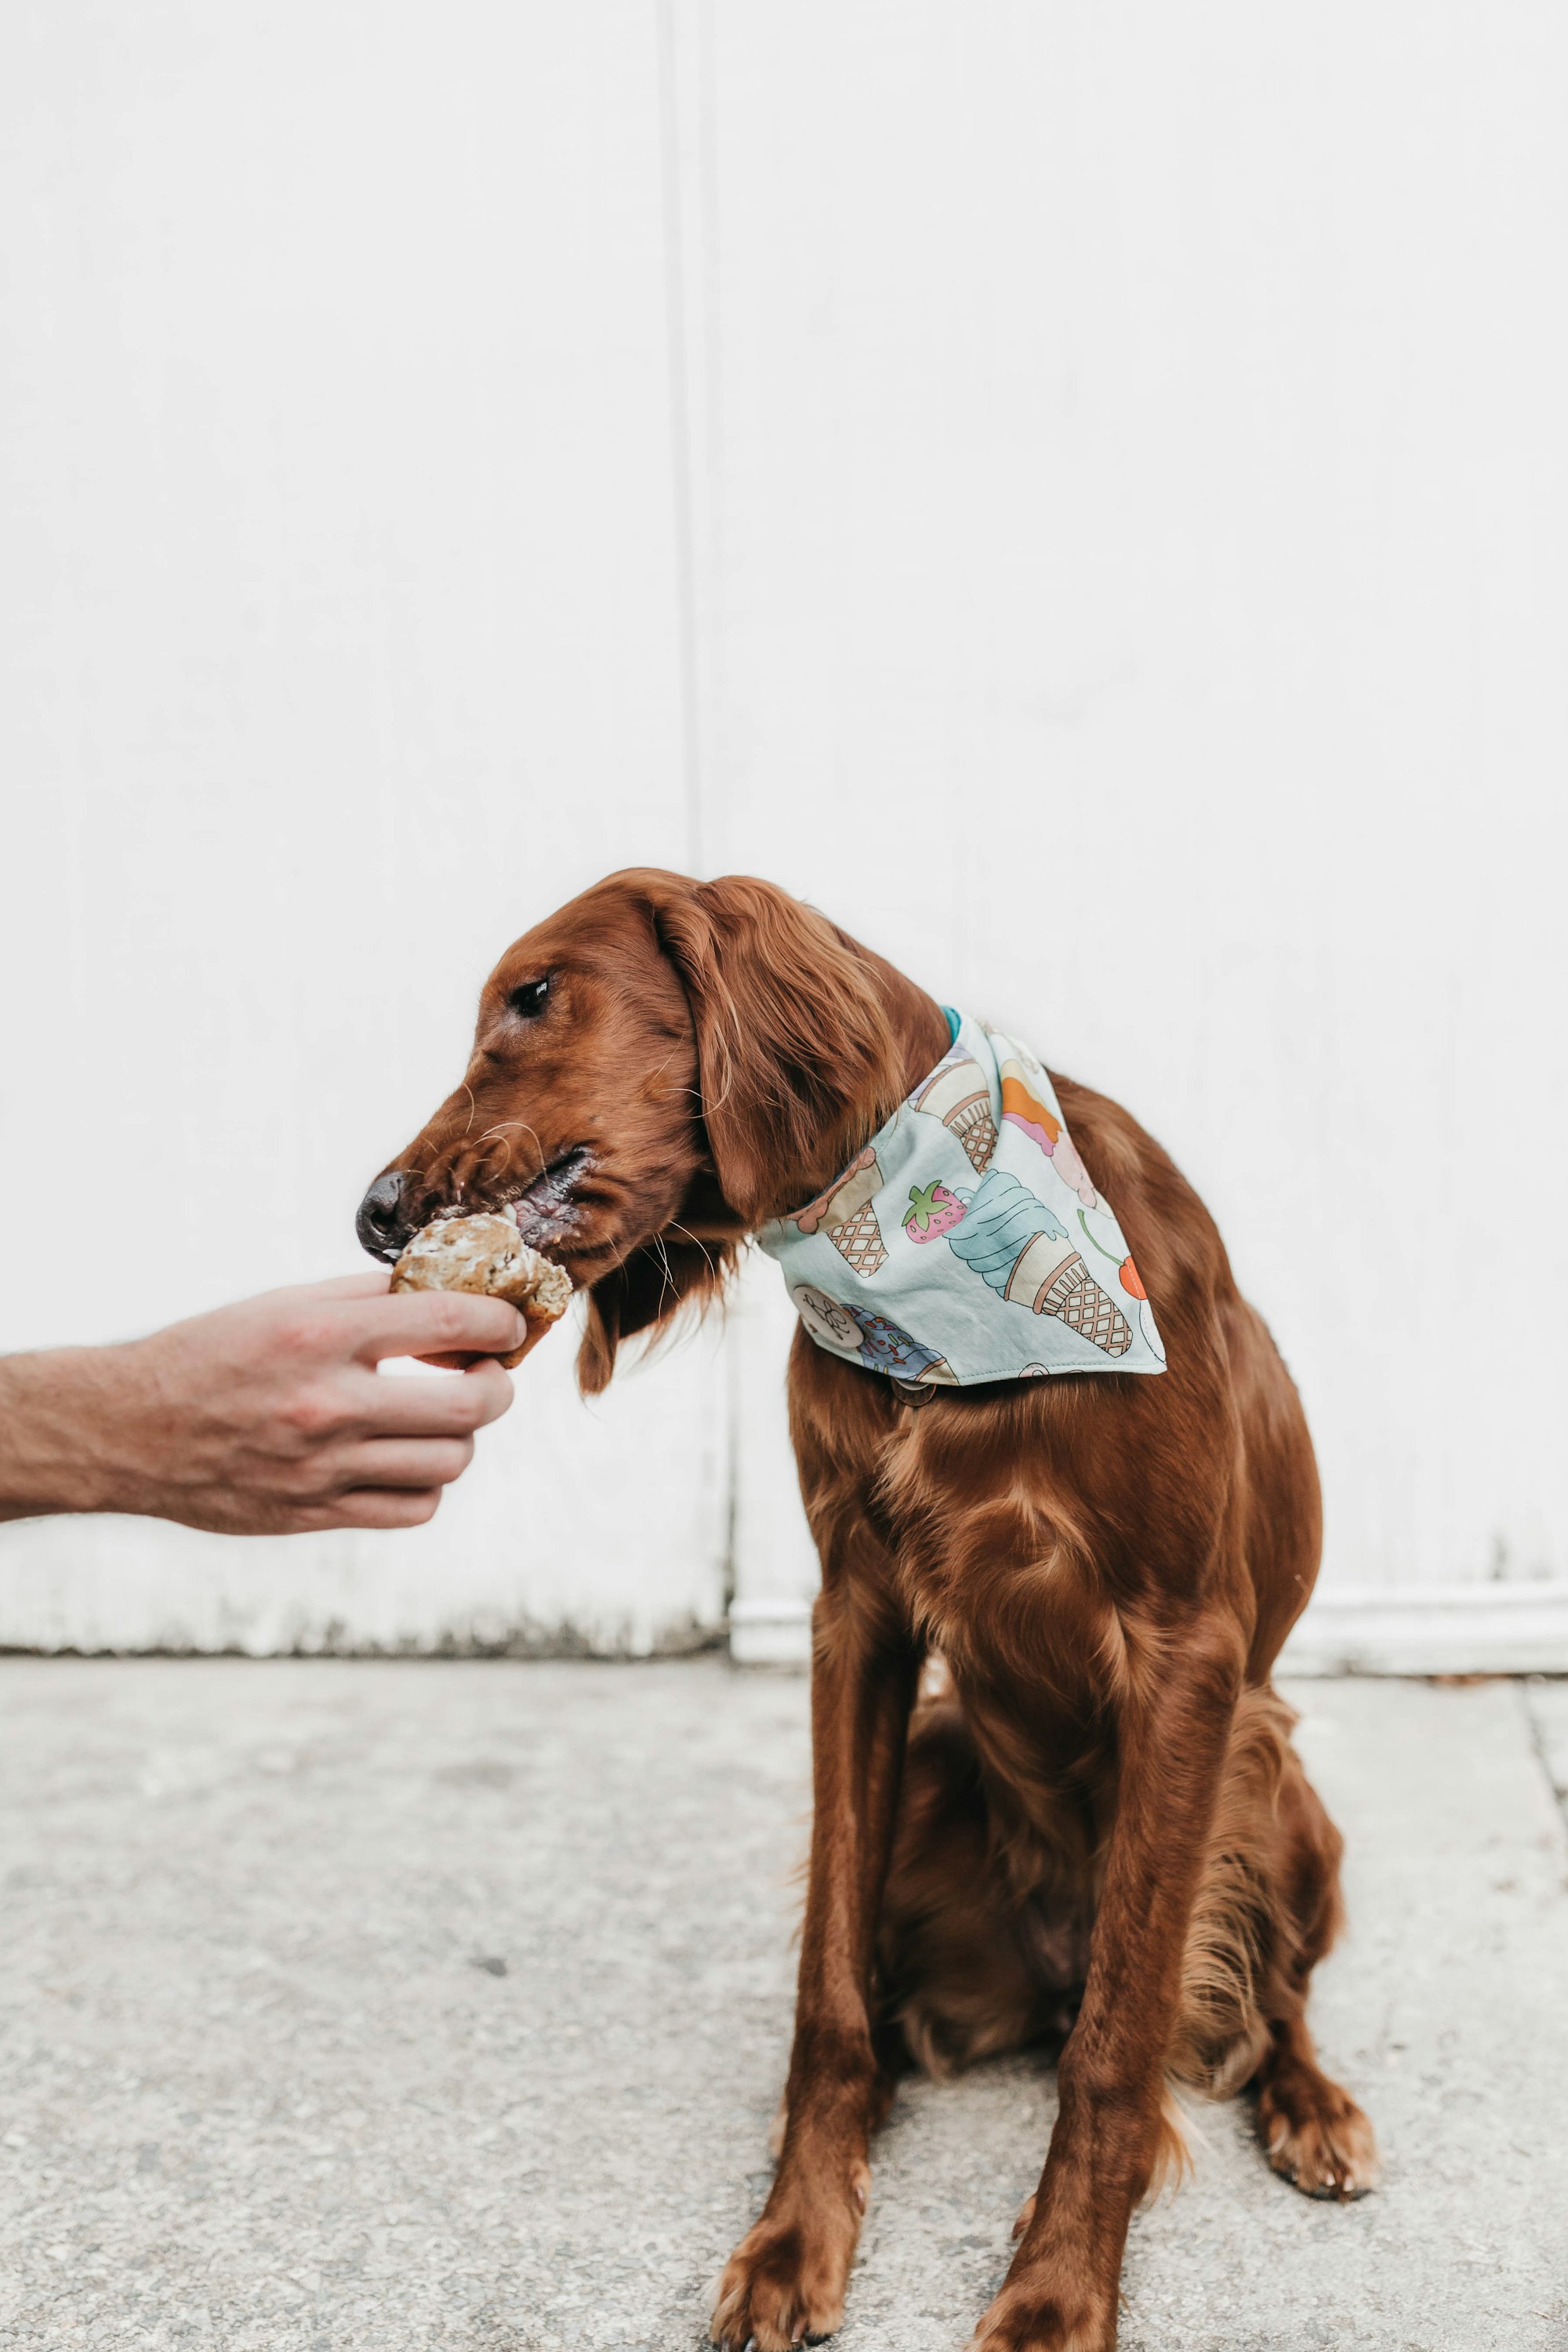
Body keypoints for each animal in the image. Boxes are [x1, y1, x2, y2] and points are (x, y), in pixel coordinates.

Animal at [354, 875, 1373, 2352]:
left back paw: (1315, 2108)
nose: (375, 1214)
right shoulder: (860, 1616)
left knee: (1260, 2006)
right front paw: (794, 2235)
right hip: (947, 1764)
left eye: (534, 998)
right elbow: (826, 1994)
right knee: (902, 2012)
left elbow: (1120, 2042)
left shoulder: (1188, 1649)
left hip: (1276, 1780)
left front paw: (1058, 2289)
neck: (927, 1275)